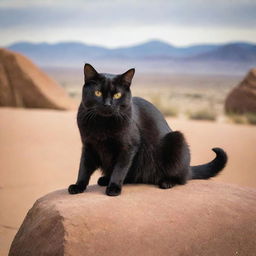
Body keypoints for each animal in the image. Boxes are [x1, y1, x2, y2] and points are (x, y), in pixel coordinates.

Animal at [67, 63, 227, 196]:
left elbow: (119, 169)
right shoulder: (88, 145)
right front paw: (78, 186)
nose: (107, 104)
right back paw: (104, 179)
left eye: (117, 95)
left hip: (177, 139)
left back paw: (167, 182)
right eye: (98, 93)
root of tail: (189, 169)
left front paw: (114, 188)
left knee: (182, 178)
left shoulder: (129, 147)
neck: (102, 124)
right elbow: (83, 168)